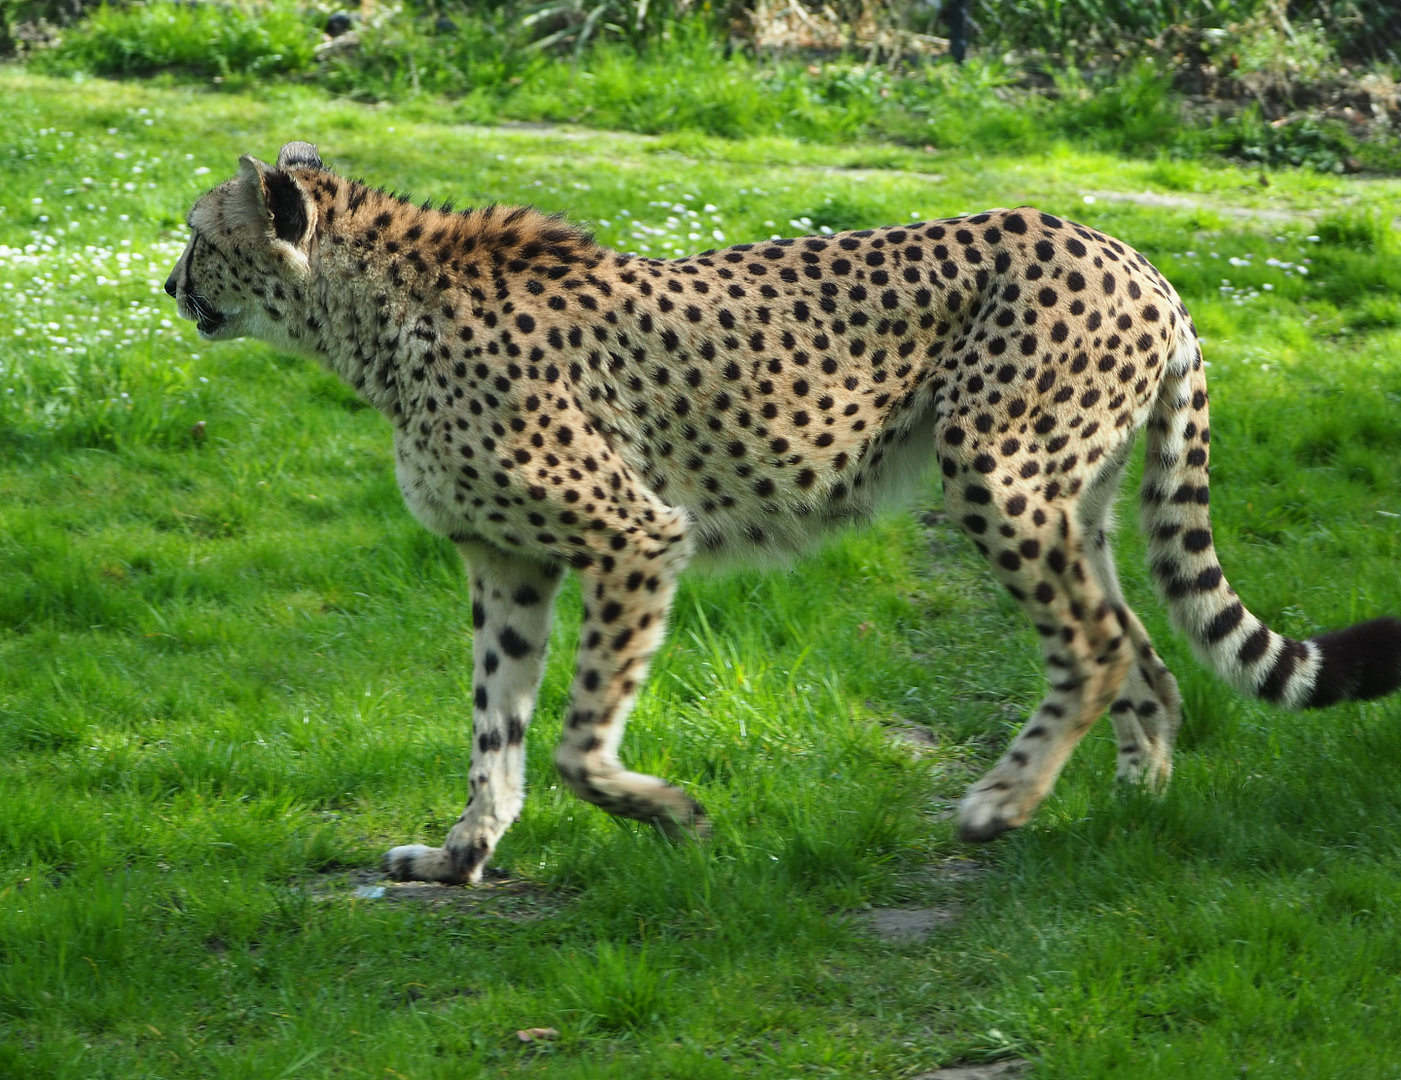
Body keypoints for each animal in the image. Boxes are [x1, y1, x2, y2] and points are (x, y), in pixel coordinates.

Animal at [166, 141, 1401, 885]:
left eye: (198, 235)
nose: (168, 289)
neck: (372, 319)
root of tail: (1129, 255)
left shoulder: (634, 532)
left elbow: (573, 739)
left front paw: (664, 811)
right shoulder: (504, 562)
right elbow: (494, 728)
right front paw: (462, 854)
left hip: (994, 475)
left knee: (1095, 648)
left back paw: (1001, 805)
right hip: (1072, 503)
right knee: (1143, 650)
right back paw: (1132, 809)